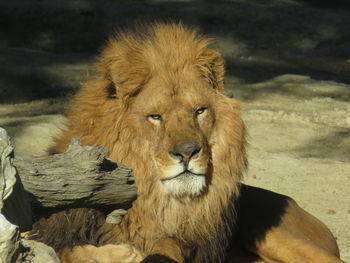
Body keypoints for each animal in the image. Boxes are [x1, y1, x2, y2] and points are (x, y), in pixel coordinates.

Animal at [34, 23, 344, 263]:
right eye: (155, 116)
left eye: (199, 111)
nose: (187, 152)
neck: (157, 204)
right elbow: (66, 250)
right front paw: (117, 253)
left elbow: (167, 244)